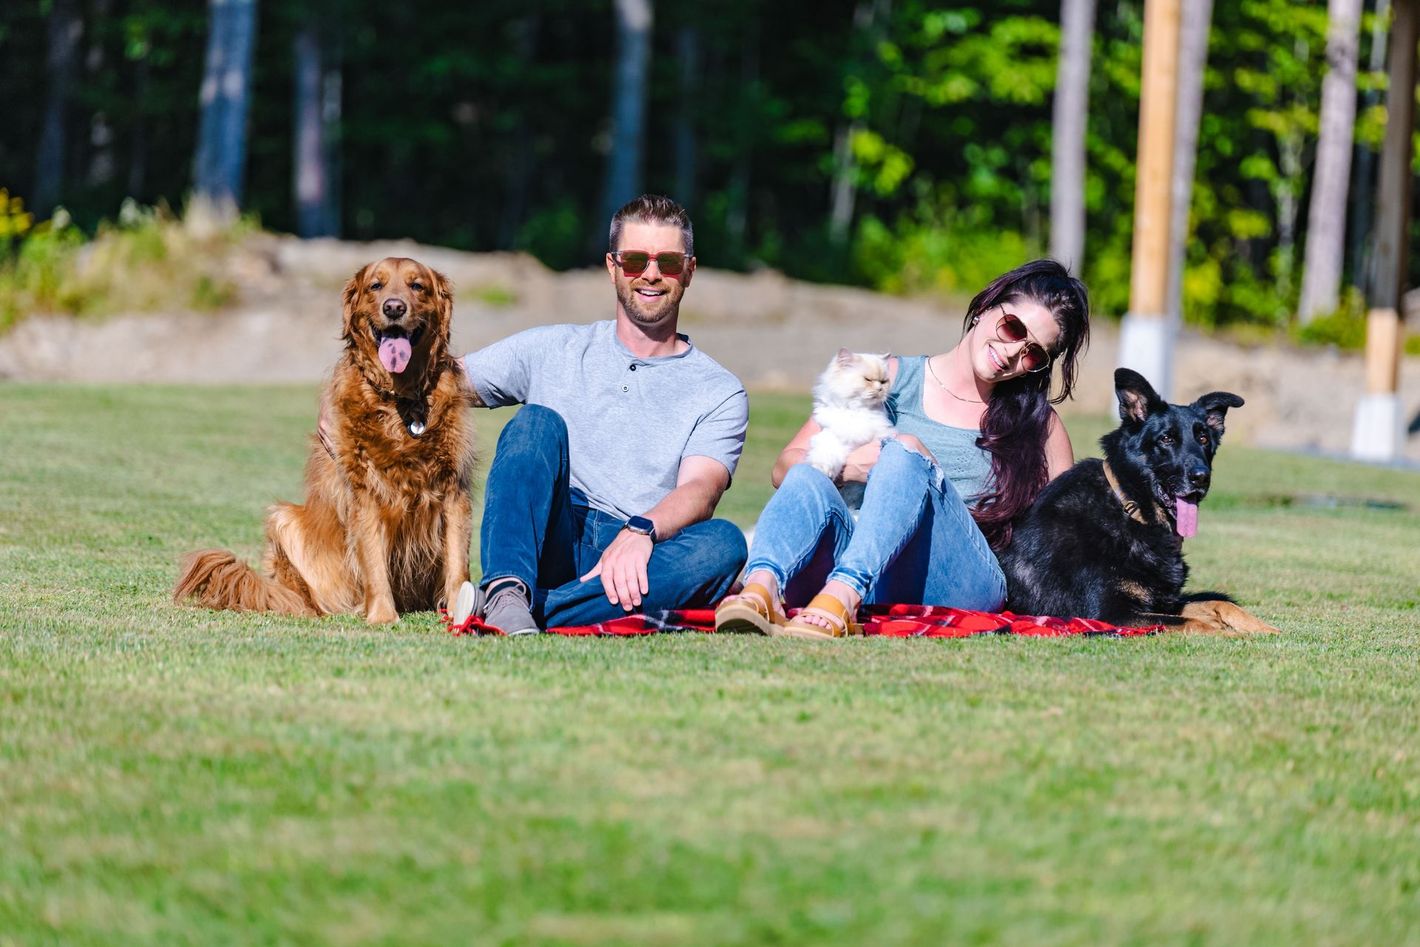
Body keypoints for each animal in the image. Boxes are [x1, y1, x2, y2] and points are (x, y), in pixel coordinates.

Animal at [806, 350, 891, 482]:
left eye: (883, 381)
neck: (857, 410)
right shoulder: (832, 438)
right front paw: (824, 470)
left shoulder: (881, 435)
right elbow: (827, 456)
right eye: (868, 379)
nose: (880, 389)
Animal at [999, 369, 1289, 636]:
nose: (1201, 477)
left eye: (1204, 438)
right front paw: (1229, 633)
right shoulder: (1111, 613)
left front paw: (1267, 630)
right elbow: (1193, 622)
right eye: (1166, 439)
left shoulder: (1162, 601)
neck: (1130, 509)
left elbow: (1219, 603)